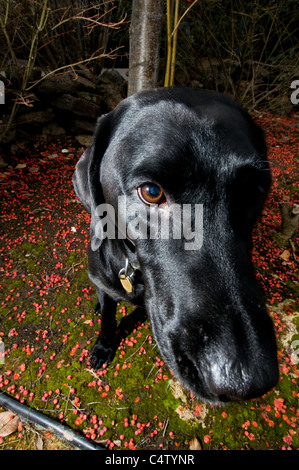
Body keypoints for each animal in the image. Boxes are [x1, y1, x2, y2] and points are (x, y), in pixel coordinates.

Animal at [72, 88, 278, 404]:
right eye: (151, 192)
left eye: (253, 192)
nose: (246, 379)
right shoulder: (104, 282)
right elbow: (107, 317)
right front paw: (103, 347)